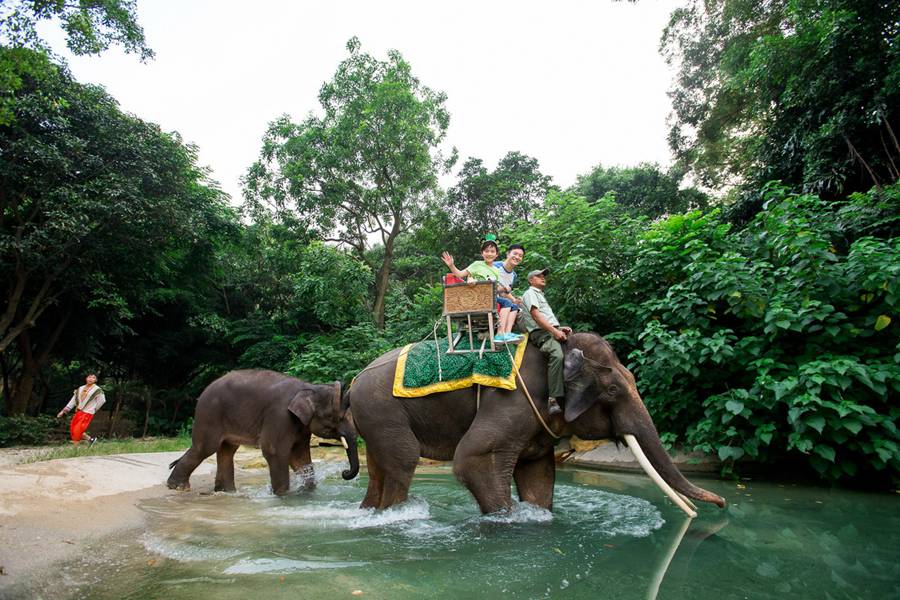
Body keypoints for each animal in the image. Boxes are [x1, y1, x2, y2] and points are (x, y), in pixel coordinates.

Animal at [167, 370, 356, 496]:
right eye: (333, 417)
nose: (344, 473)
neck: (309, 387)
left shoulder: (301, 426)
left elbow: (299, 457)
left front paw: (306, 492)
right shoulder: (279, 416)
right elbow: (275, 451)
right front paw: (282, 496)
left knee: (227, 450)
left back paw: (227, 492)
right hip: (209, 414)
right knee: (205, 448)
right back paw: (178, 487)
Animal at [348, 330, 728, 516]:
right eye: (613, 390)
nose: (722, 504)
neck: (558, 350)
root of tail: (353, 382)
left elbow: (537, 476)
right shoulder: (515, 400)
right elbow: (474, 459)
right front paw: (509, 520)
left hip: (374, 419)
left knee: (380, 469)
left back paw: (370, 513)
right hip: (383, 412)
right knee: (404, 461)